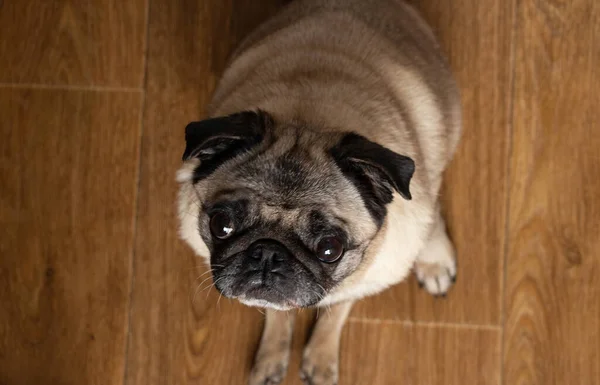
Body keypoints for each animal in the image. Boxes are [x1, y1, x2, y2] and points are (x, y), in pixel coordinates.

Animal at [176, 0, 462, 384]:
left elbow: (337, 307)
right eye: (221, 226)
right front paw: (273, 355)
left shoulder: (367, 271)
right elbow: (278, 312)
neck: (308, 120)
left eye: (330, 249)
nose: (267, 254)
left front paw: (321, 359)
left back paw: (434, 259)